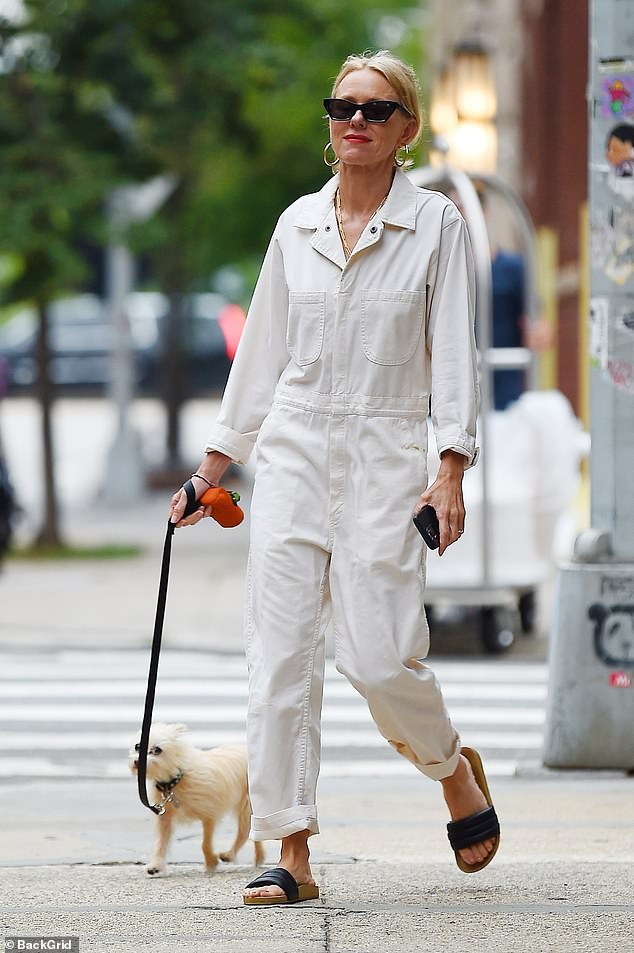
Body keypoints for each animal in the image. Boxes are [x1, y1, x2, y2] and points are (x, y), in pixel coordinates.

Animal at [128, 720, 262, 876]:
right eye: (137, 746)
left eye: (157, 750)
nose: (137, 762)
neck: (175, 780)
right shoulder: (165, 819)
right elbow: (161, 842)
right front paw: (156, 865)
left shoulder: (209, 815)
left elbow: (204, 844)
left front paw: (210, 863)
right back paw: (257, 858)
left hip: (247, 805)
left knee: (246, 831)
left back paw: (231, 855)